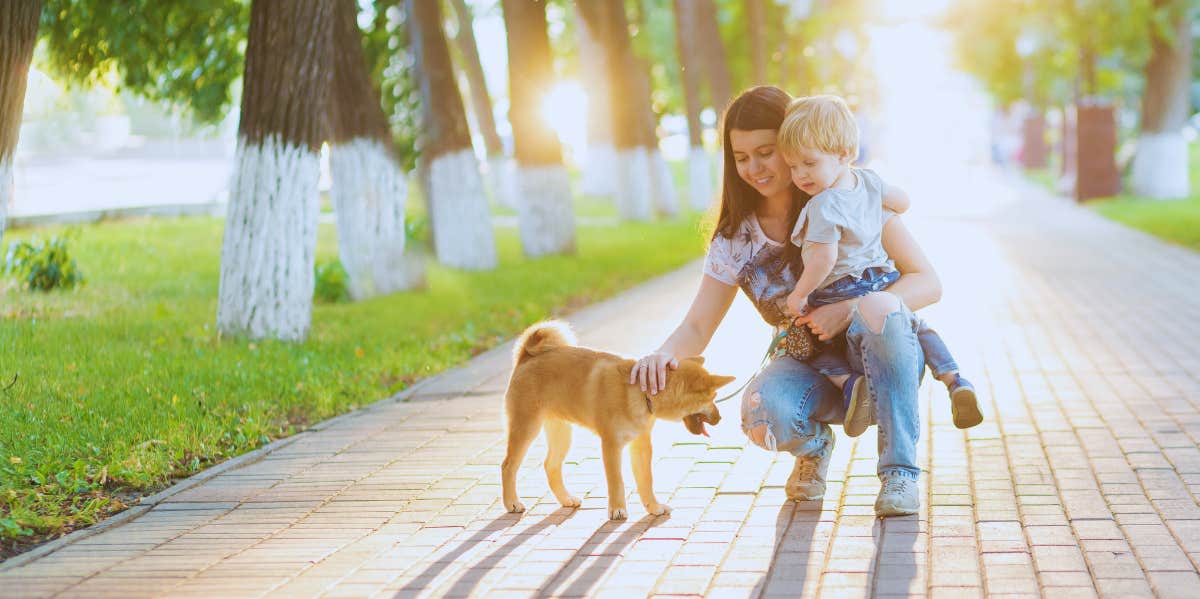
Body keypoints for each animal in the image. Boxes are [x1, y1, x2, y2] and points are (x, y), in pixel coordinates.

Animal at [501, 324, 734, 520]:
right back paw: (512, 503)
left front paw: (653, 507)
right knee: (508, 466)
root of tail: (526, 357)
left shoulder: (641, 445)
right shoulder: (611, 444)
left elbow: (646, 481)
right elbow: (617, 482)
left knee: (550, 465)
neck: (640, 393)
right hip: (527, 427)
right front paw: (618, 509)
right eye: (713, 397)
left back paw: (566, 499)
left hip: (561, 434)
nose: (721, 417)